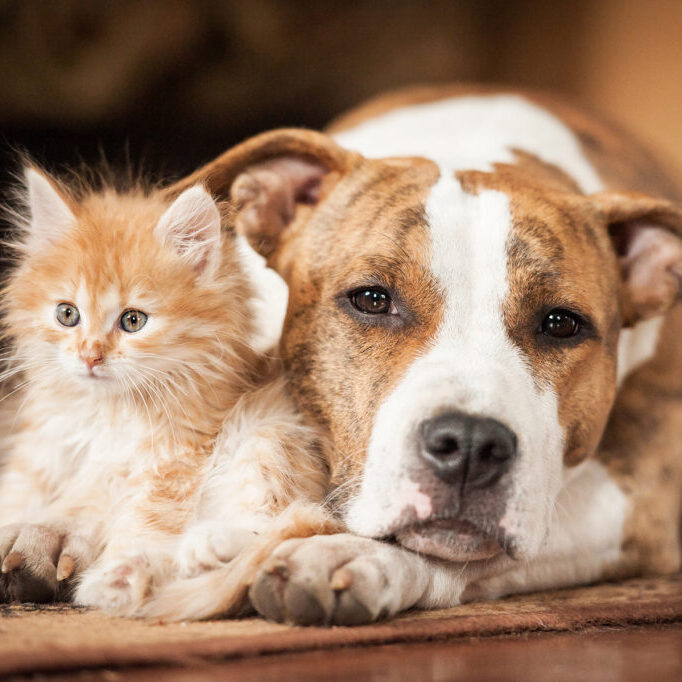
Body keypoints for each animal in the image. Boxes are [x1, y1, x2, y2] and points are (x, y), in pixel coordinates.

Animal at [0, 167, 332, 612]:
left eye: (133, 321)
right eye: (67, 314)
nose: (90, 356)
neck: (106, 413)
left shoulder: (179, 454)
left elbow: (147, 515)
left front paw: (117, 575)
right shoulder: (43, 449)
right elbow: (24, 496)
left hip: (271, 434)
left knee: (285, 522)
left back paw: (195, 550)